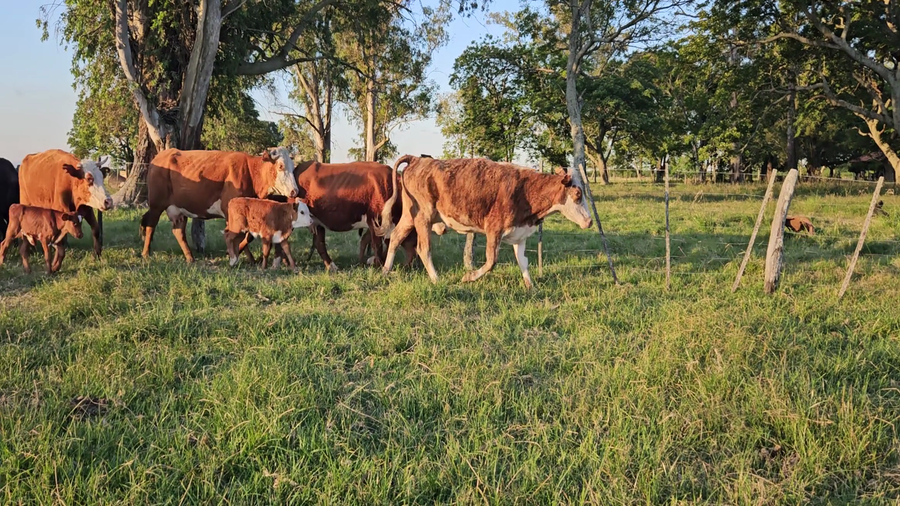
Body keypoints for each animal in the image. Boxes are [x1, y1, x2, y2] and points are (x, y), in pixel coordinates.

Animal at [140, 147, 299, 263]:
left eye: (293, 167)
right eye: (281, 166)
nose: (294, 191)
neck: (250, 173)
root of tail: (161, 155)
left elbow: (248, 236)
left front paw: (248, 258)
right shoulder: (230, 212)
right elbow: (239, 235)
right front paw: (235, 255)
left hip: (179, 210)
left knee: (178, 231)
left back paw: (190, 257)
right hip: (156, 205)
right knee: (150, 226)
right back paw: (146, 253)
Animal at [377, 156, 593, 289]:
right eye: (578, 194)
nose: (590, 221)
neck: (525, 189)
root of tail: (418, 159)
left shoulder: (519, 234)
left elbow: (523, 262)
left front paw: (531, 286)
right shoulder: (494, 229)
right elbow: (491, 261)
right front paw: (468, 277)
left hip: (409, 216)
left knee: (395, 237)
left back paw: (386, 270)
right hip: (424, 216)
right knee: (423, 248)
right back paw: (436, 279)